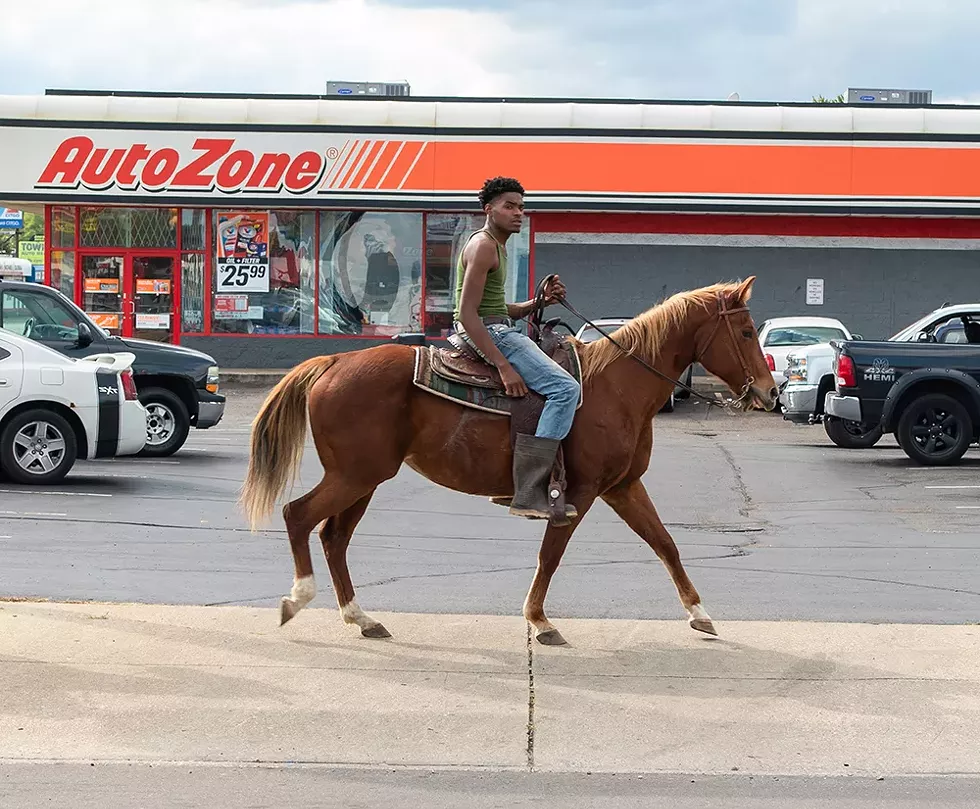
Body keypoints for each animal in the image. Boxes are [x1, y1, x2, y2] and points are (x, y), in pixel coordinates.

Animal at [241, 276, 776, 644]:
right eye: (747, 331)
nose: (771, 394)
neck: (616, 387)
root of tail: (332, 362)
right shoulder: (579, 493)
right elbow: (551, 555)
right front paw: (539, 620)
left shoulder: (623, 487)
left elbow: (666, 544)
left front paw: (699, 613)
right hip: (355, 475)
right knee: (298, 516)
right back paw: (298, 598)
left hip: (364, 478)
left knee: (334, 537)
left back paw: (361, 617)